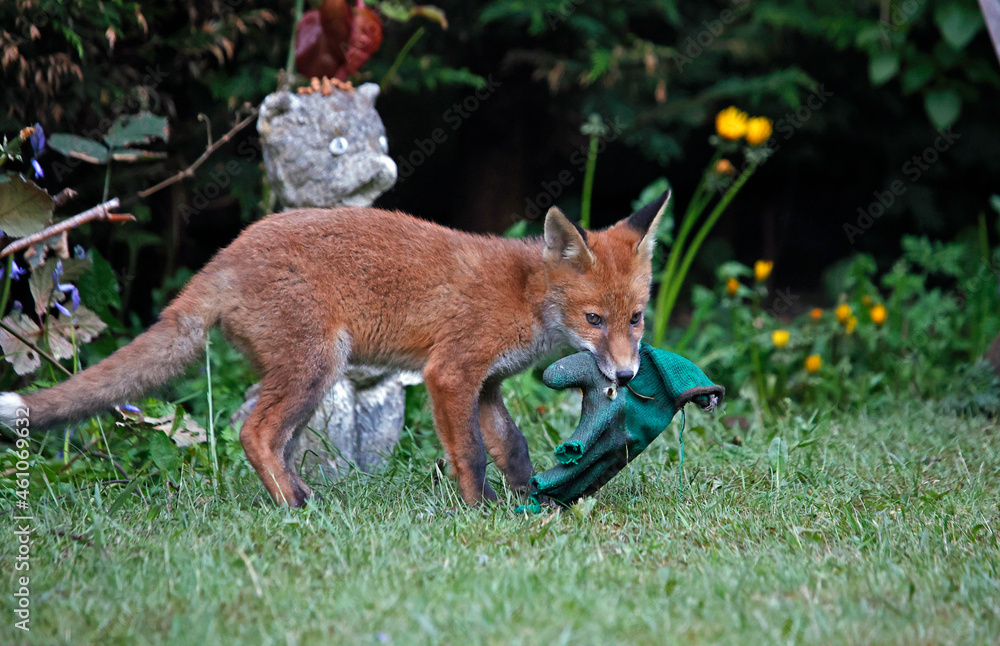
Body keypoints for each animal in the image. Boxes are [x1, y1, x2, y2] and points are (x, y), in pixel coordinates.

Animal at [0, 190, 669, 507]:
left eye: (635, 318)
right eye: (592, 319)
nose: (627, 373)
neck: (526, 295)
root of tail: (224, 257)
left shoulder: (487, 384)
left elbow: (513, 447)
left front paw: (532, 501)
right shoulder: (450, 373)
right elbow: (473, 455)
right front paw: (479, 512)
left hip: (310, 379)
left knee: (274, 439)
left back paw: (298, 498)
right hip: (317, 367)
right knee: (253, 432)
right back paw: (295, 507)